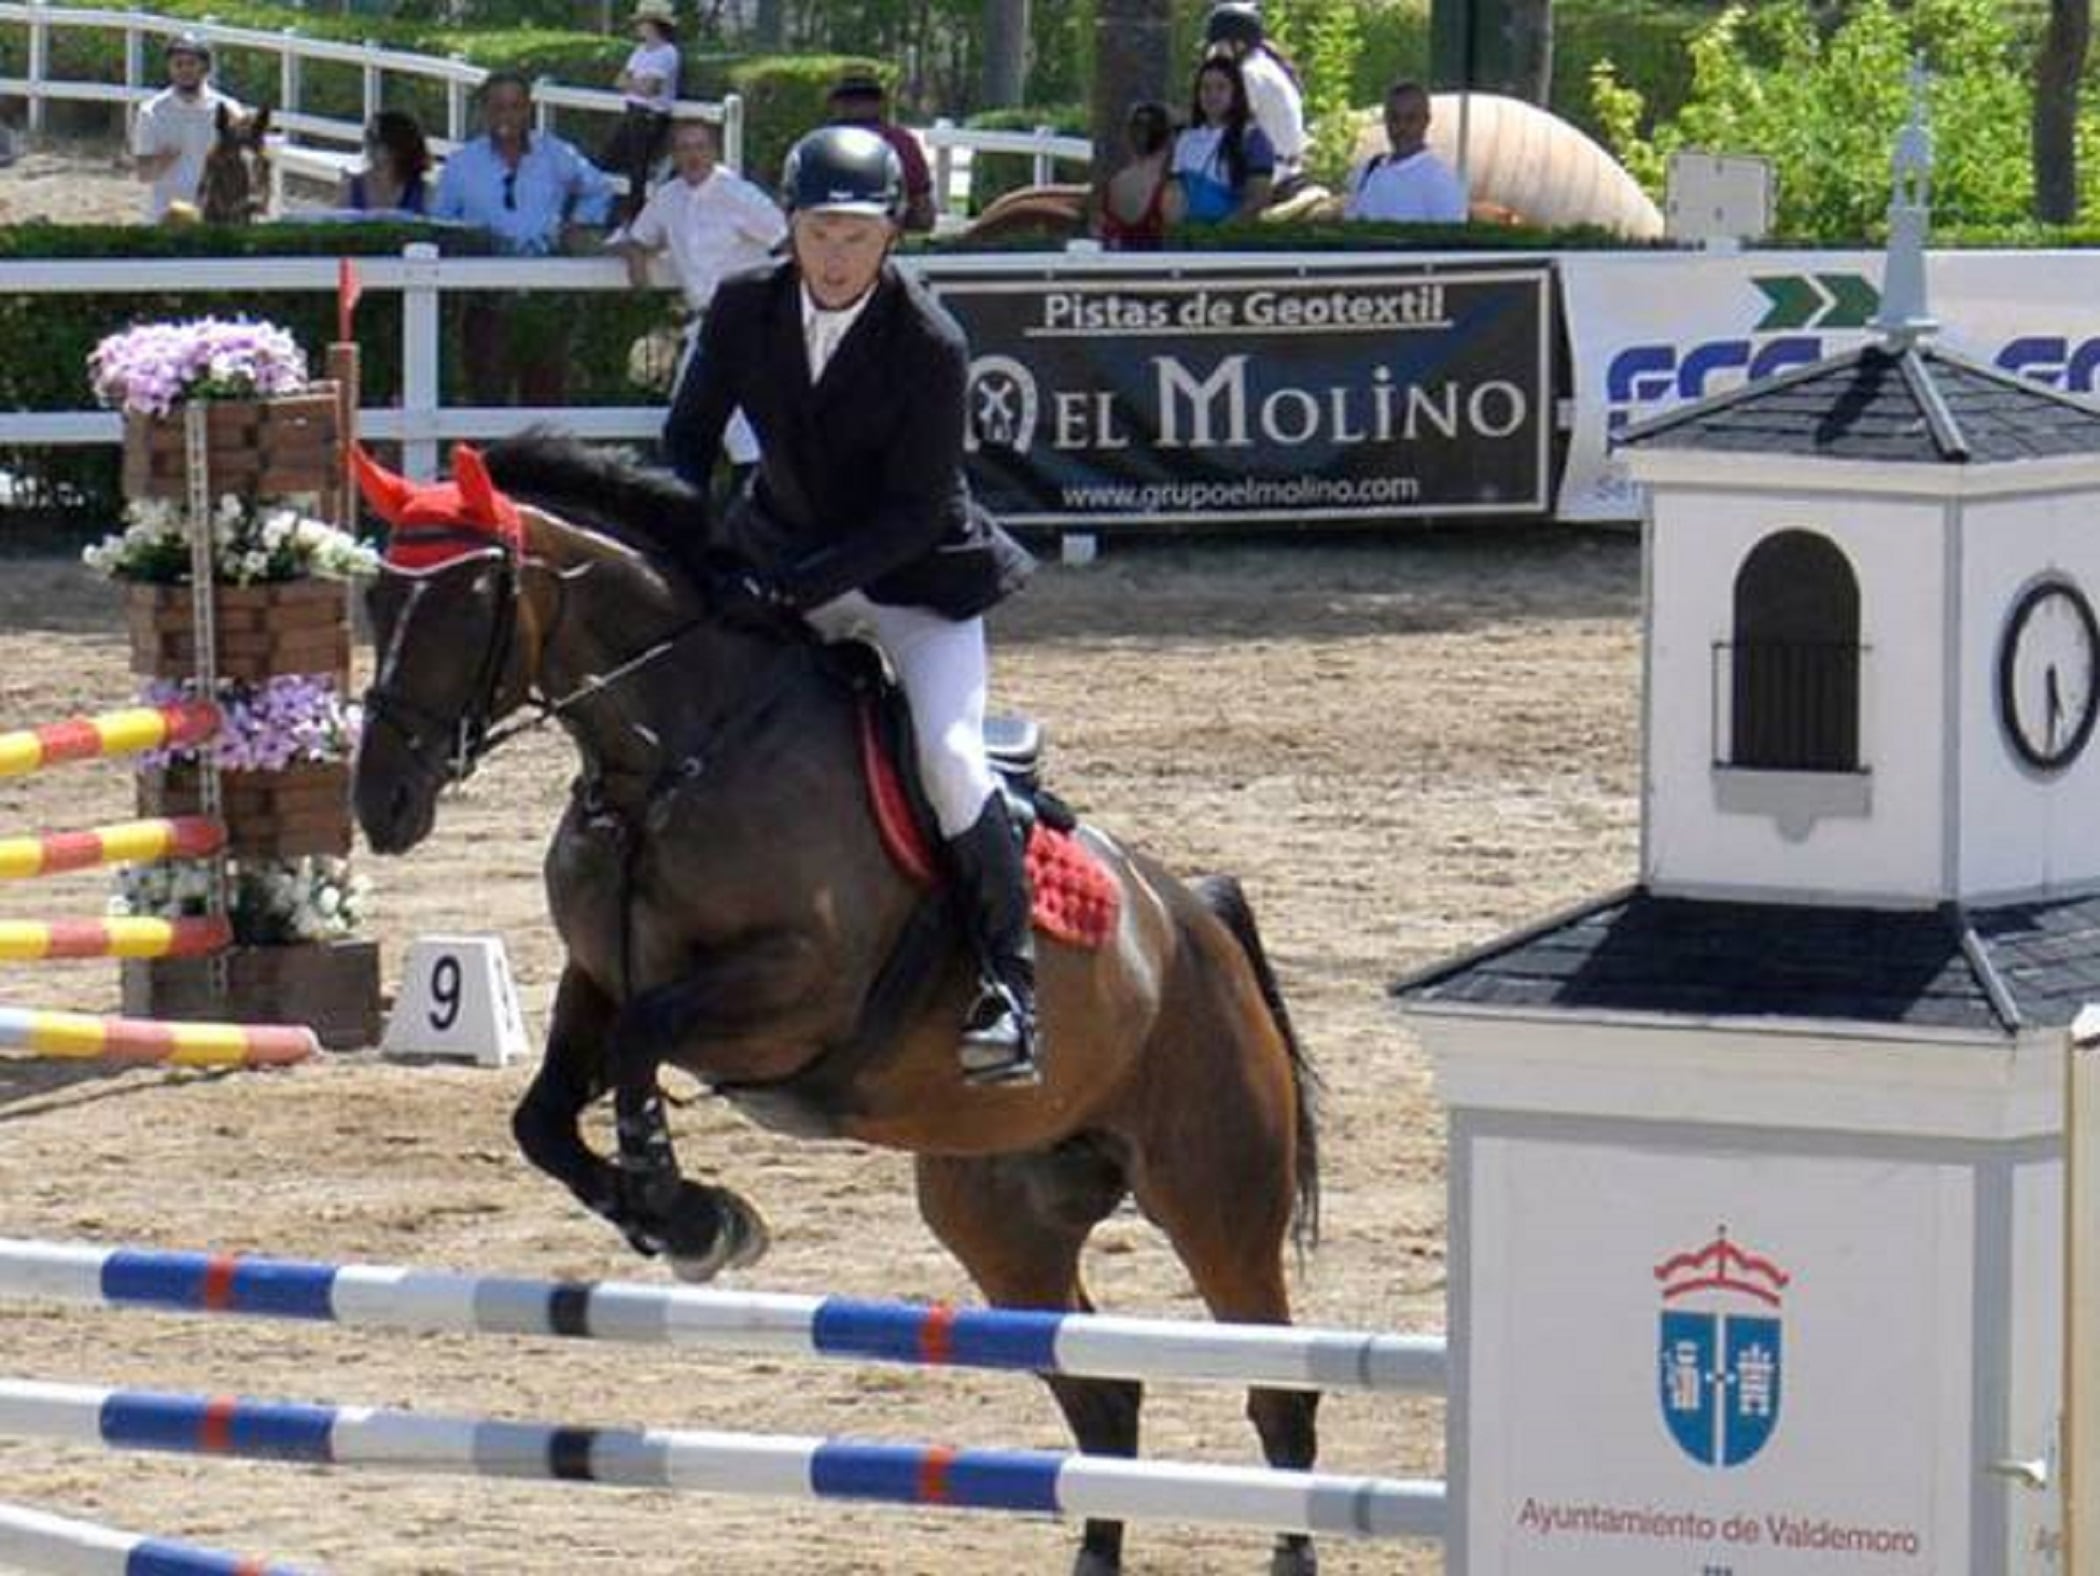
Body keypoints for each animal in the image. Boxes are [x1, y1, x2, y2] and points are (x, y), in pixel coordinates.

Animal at [352, 434, 1318, 1576]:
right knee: (1104, 1398)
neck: (672, 759)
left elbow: (640, 1044)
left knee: (1278, 1395)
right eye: (375, 598)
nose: (382, 806)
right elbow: (542, 1115)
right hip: (1003, 1221)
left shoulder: (800, 993)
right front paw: (668, 1208)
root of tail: (1191, 916)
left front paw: (688, 1214)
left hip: (1213, 1195)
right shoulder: (599, 972)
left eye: (466, 601)